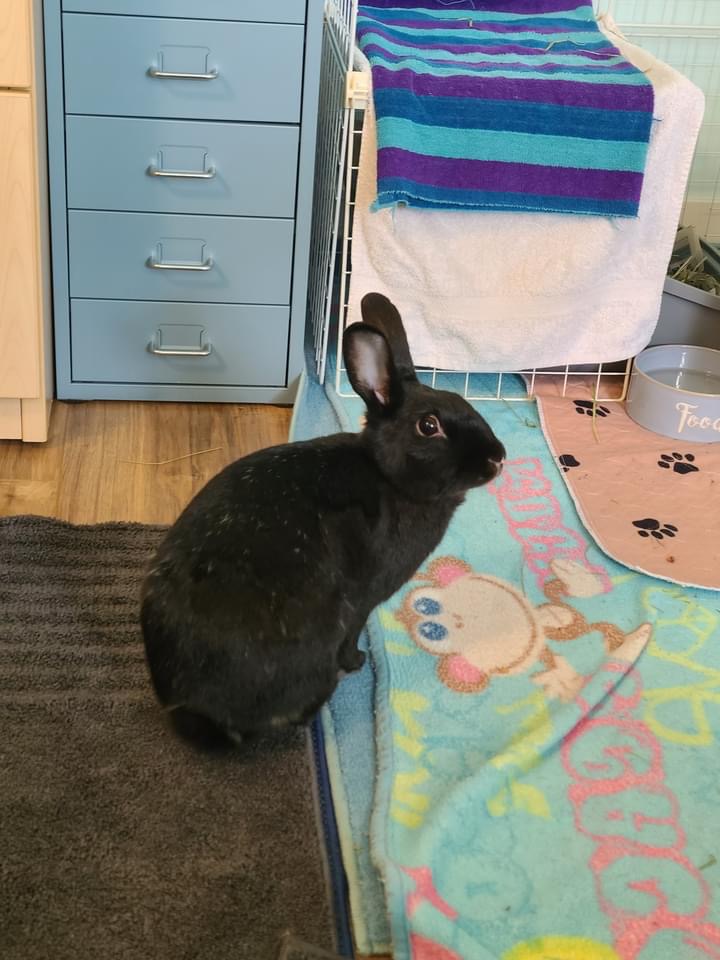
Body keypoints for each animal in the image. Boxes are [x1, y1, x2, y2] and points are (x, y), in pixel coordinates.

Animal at [140, 292, 505, 746]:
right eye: (429, 425)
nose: (497, 457)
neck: (387, 476)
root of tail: (190, 707)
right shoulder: (363, 600)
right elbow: (354, 632)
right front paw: (358, 661)